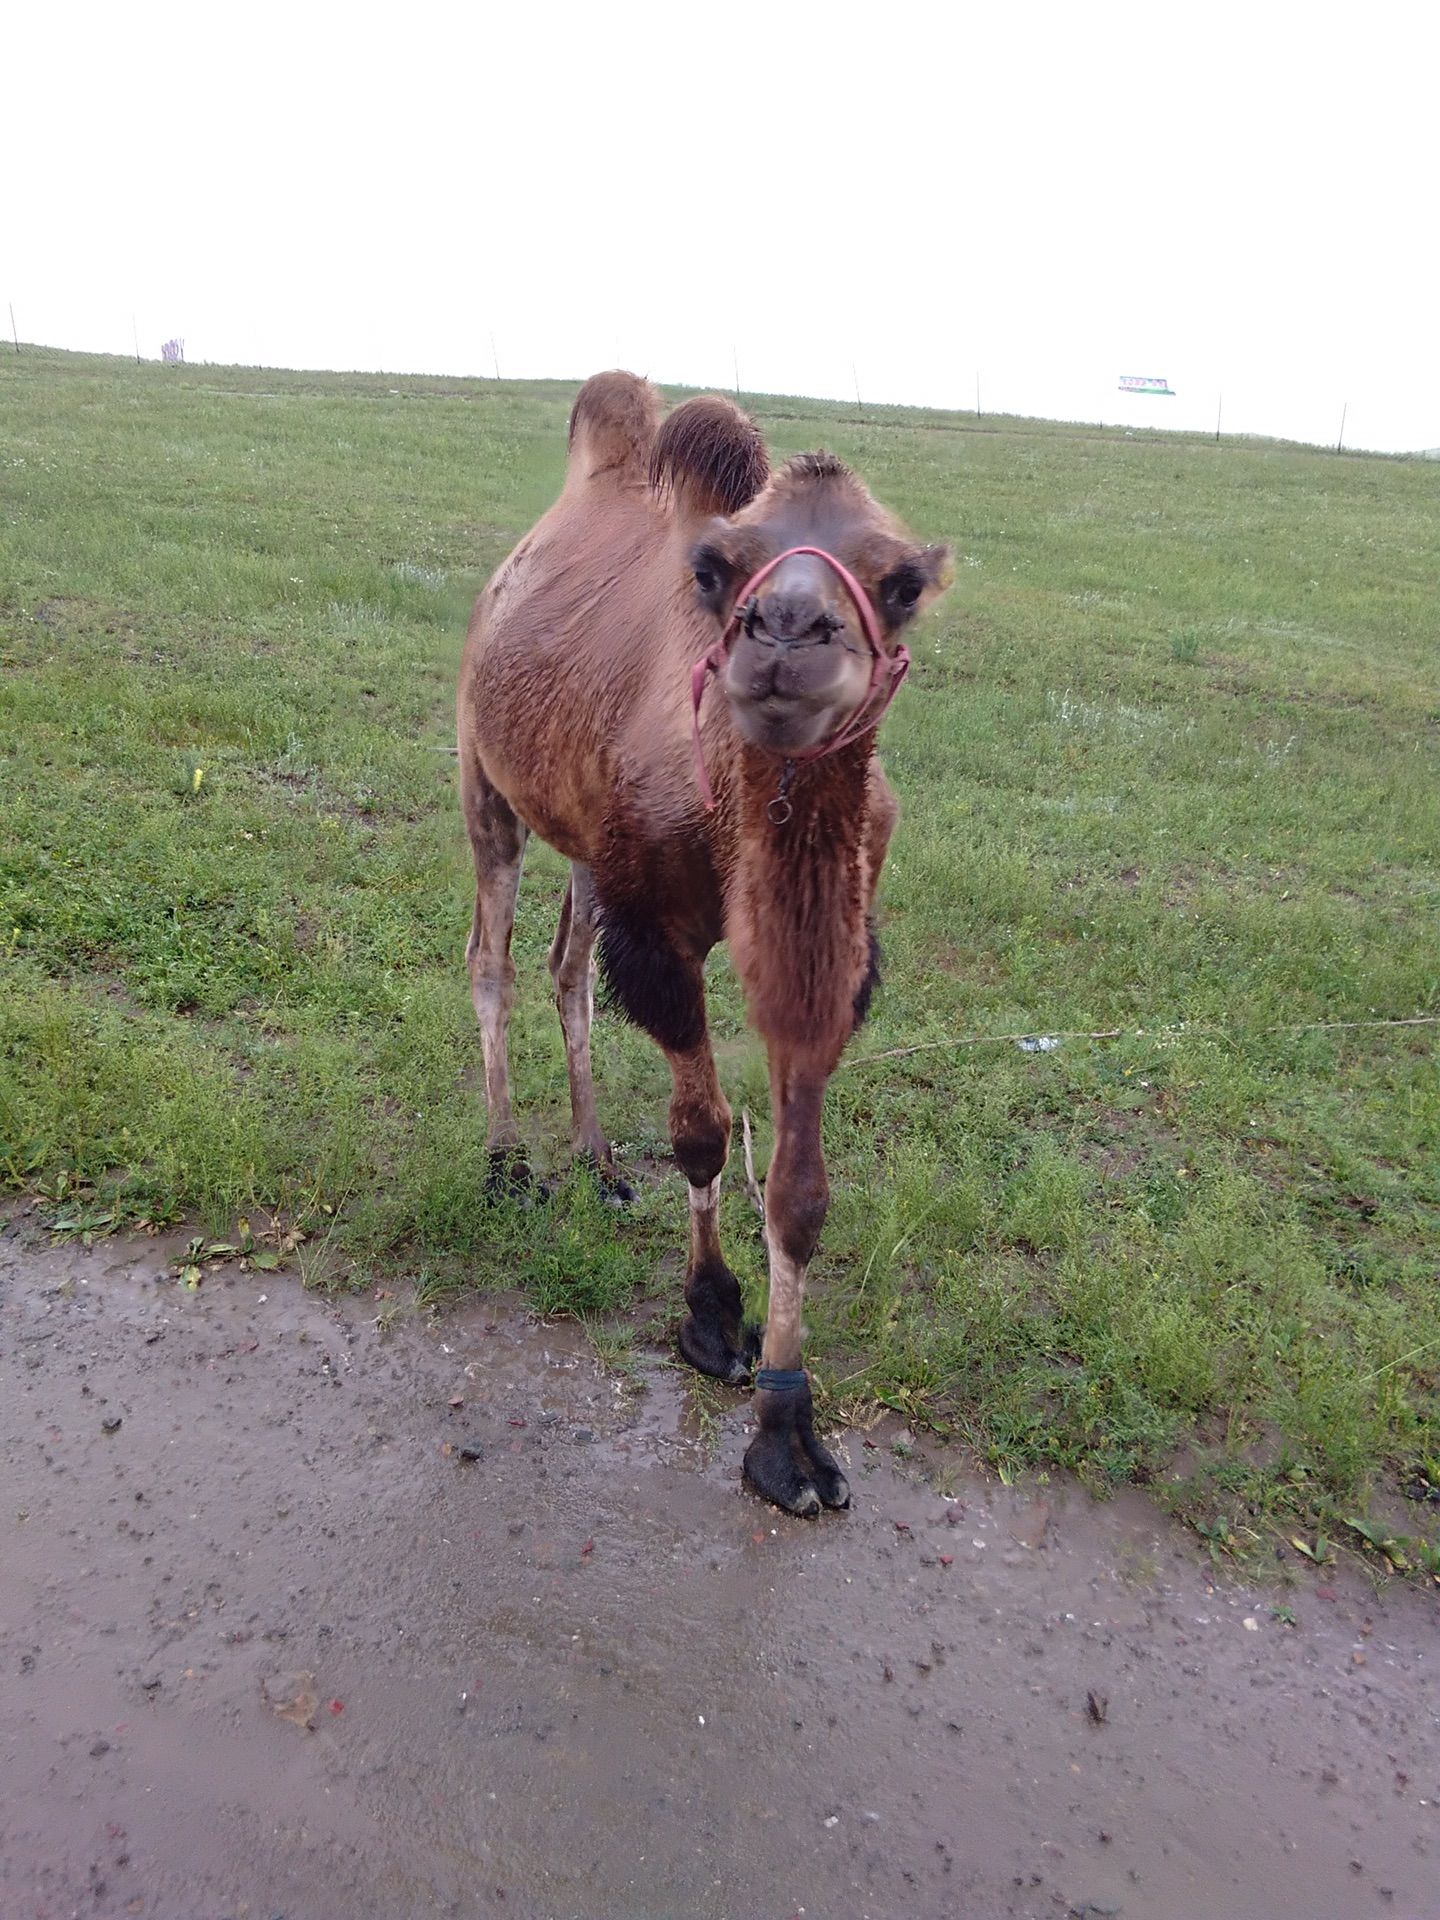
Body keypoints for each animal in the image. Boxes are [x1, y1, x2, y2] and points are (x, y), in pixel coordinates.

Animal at [462, 374, 952, 1512]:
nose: (788, 627)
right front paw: (710, 1316)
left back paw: (598, 1164)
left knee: (564, 970)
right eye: (716, 567)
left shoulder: (827, 953)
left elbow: (801, 1192)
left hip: (586, 837)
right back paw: (508, 1163)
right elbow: (701, 1132)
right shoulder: (662, 934)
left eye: (903, 582)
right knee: (494, 963)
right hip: (483, 776)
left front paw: (788, 1432)